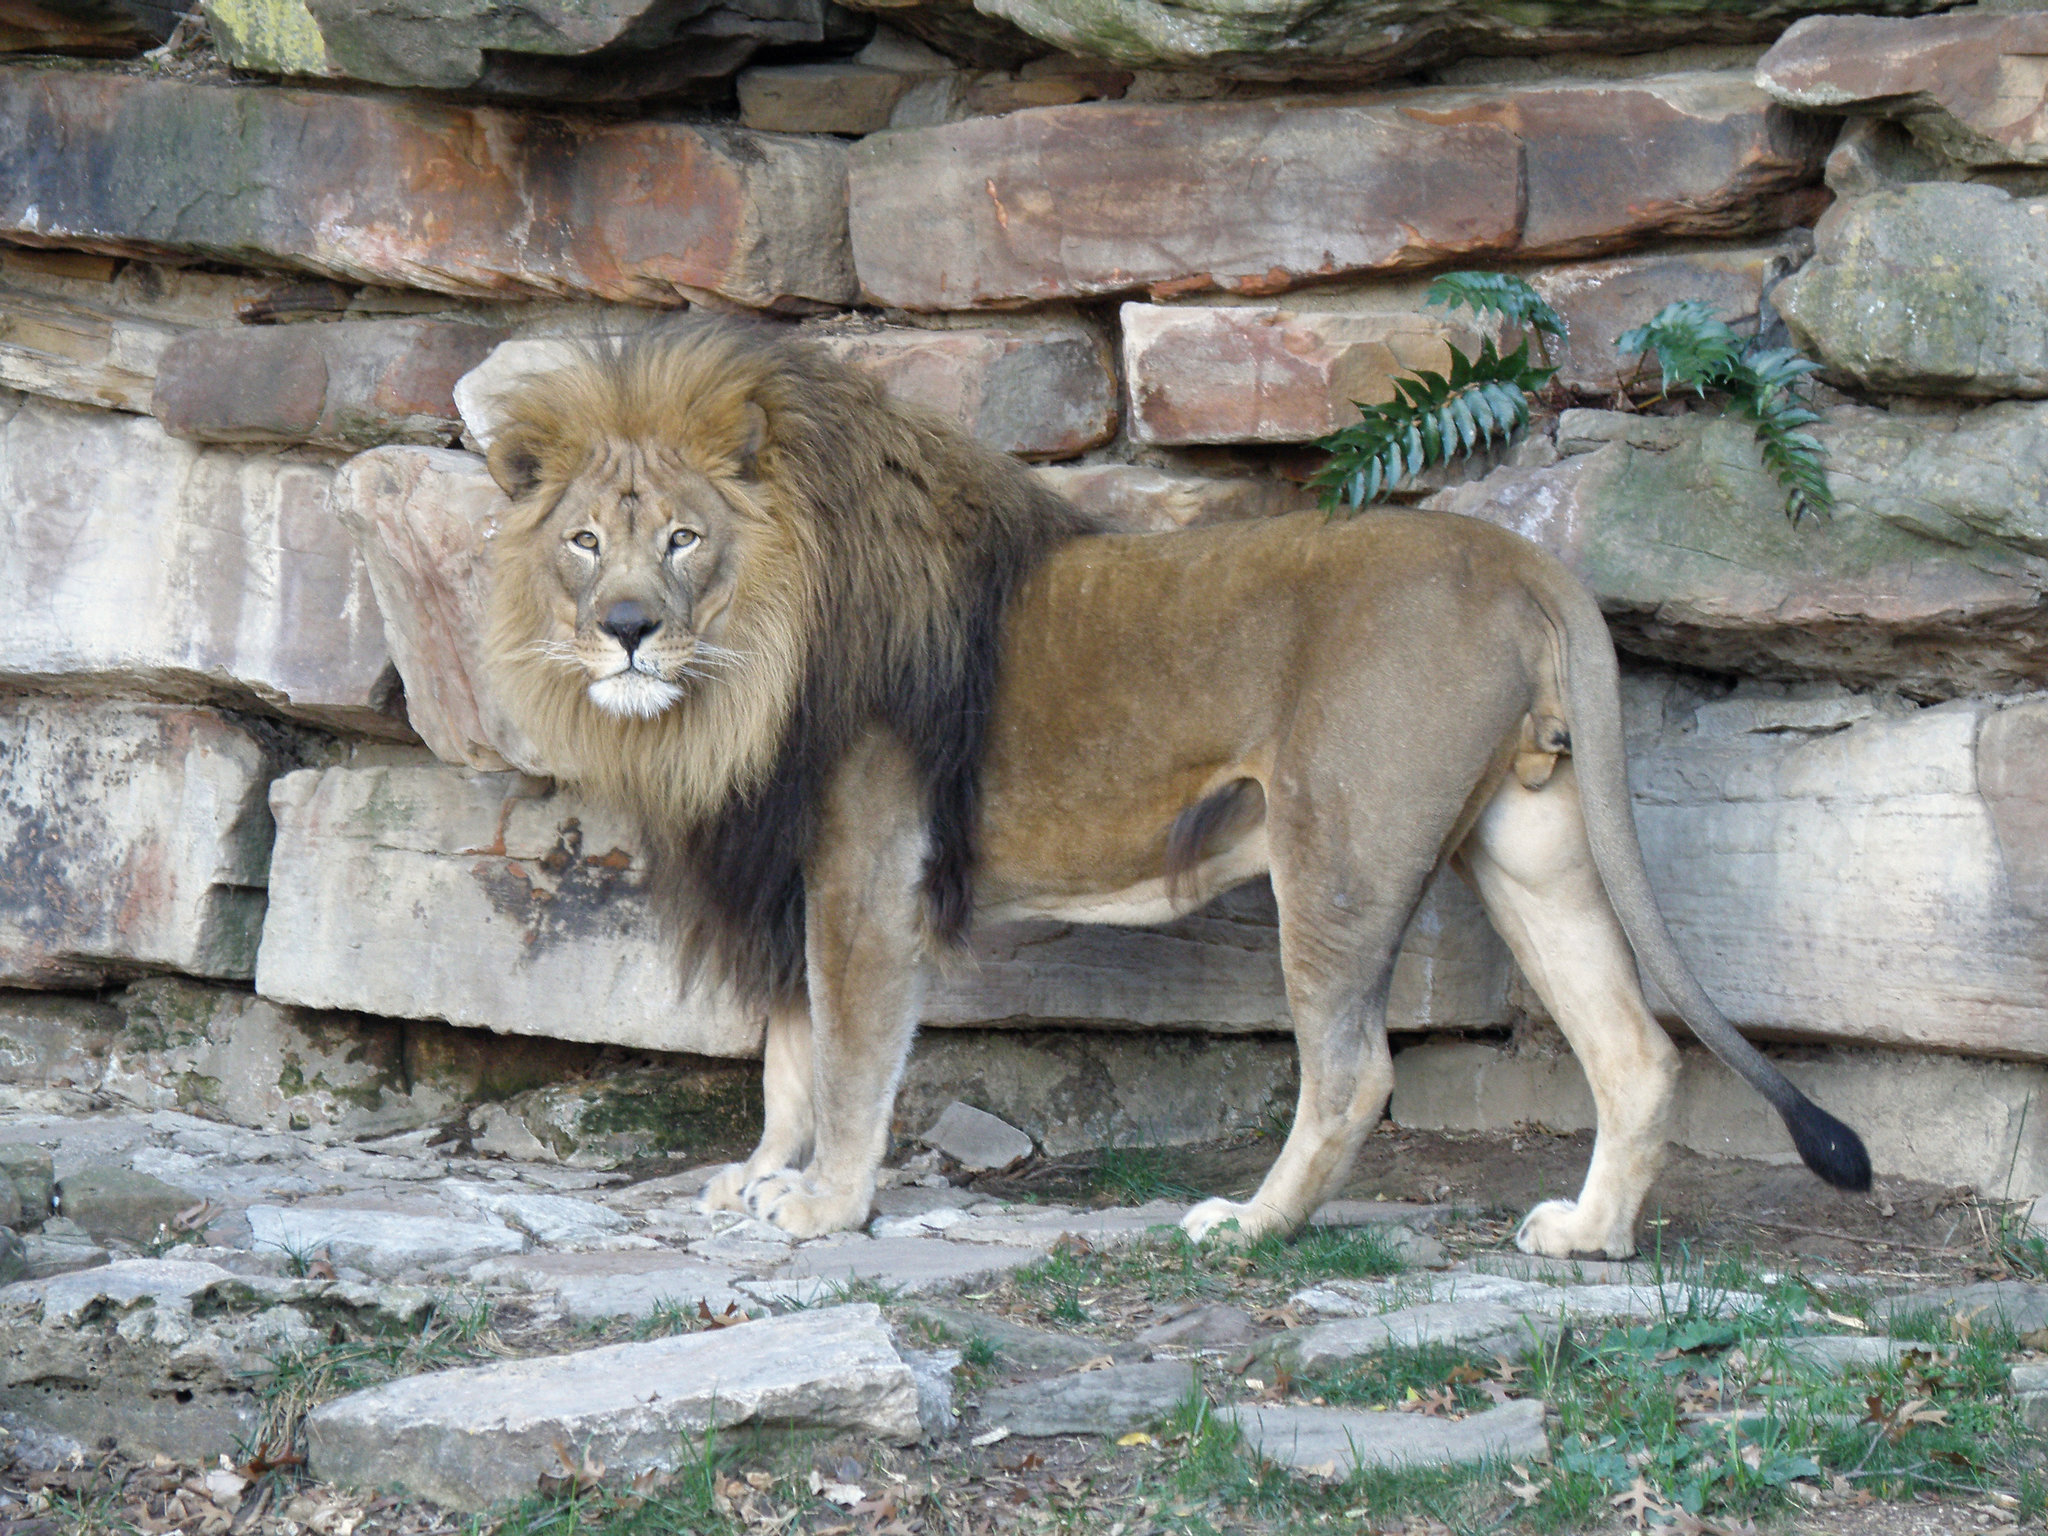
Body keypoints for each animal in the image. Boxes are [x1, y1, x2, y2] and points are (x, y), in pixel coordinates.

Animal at [479, 319, 1875, 1253]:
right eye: (583, 542)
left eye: (682, 540)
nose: (624, 631)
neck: (740, 675)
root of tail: (1515, 556)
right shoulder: (780, 869)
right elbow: (786, 1050)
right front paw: (762, 1173)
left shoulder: (864, 872)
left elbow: (849, 1052)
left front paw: (823, 1205)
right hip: (1527, 841)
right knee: (1633, 1049)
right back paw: (1589, 1238)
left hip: (1336, 847)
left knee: (1352, 1072)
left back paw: (1249, 1225)